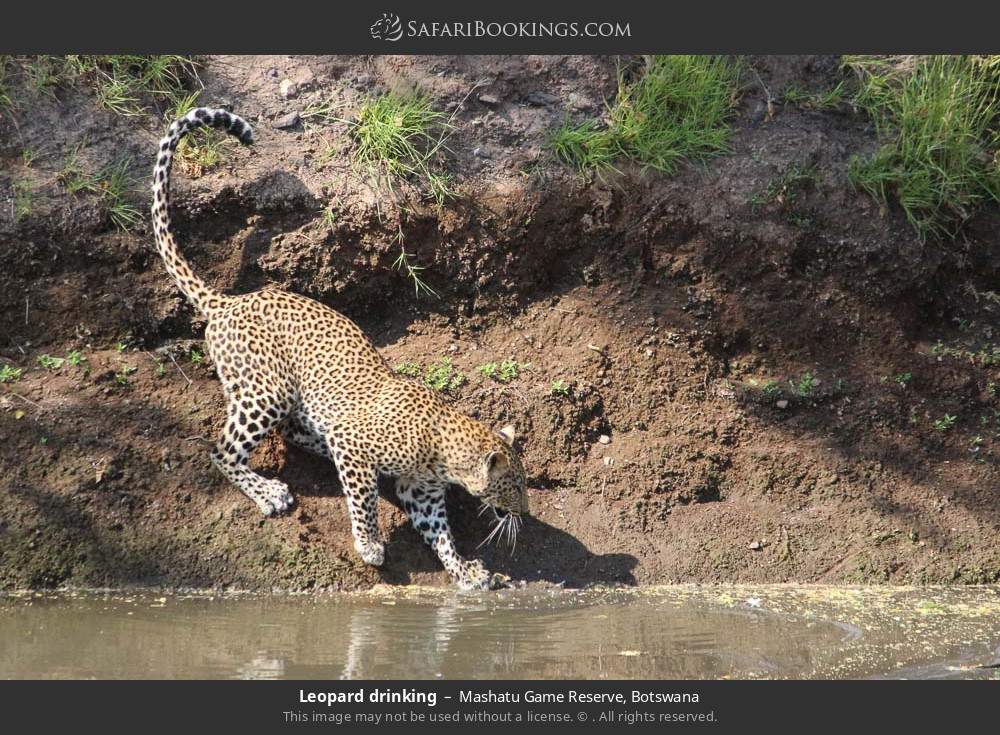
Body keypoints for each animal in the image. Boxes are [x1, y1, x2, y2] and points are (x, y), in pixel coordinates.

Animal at [150, 108, 532, 592]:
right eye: (514, 485)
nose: (525, 513)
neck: (444, 449)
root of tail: (229, 301)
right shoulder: (356, 447)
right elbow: (363, 500)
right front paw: (369, 545)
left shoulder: (421, 493)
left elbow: (440, 534)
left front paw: (463, 570)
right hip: (267, 393)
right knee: (222, 451)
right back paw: (269, 492)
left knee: (290, 432)